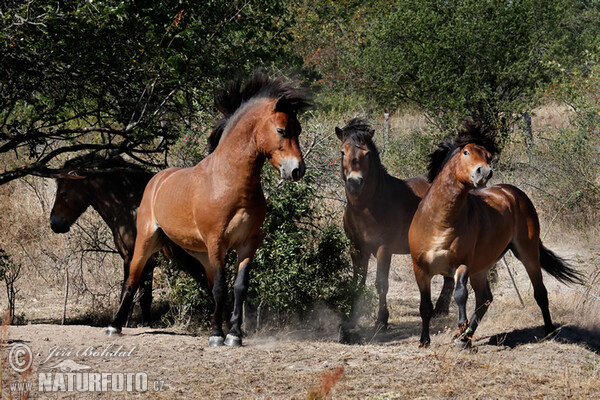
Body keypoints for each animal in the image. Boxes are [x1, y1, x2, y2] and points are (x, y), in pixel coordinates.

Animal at [48, 155, 206, 326]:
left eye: (63, 193)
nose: (54, 223)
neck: (131, 207)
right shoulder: (141, 261)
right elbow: (142, 296)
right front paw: (145, 324)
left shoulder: (135, 258)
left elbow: (130, 292)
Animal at [108, 72, 312, 346]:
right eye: (281, 130)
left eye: (298, 130)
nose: (297, 170)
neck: (230, 181)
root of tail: (157, 179)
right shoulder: (218, 243)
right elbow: (221, 288)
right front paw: (217, 335)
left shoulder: (248, 243)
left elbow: (238, 287)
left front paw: (233, 334)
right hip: (147, 240)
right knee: (133, 278)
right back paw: (115, 325)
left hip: (199, 254)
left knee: (207, 283)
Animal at [336, 116, 452, 328]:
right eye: (342, 152)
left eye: (367, 153)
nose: (355, 183)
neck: (366, 206)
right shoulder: (356, 248)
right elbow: (358, 282)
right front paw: (352, 318)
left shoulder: (384, 248)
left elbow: (381, 284)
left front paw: (382, 320)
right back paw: (441, 310)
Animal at [406, 120, 584, 348]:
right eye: (466, 152)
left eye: (487, 156)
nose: (484, 172)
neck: (438, 223)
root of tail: (512, 192)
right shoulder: (420, 269)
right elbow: (425, 306)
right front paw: (424, 341)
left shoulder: (462, 264)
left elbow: (460, 294)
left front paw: (460, 326)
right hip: (482, 267)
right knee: (485, 298)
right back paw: (466, 338)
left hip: (527, 253)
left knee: (540, 292)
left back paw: (549, 330)